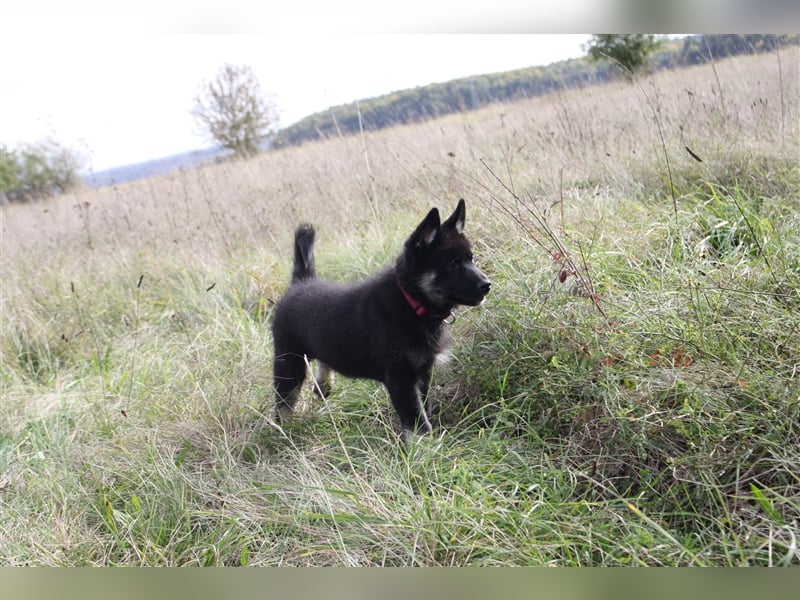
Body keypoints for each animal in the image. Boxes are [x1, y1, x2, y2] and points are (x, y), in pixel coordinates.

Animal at [272, 200, 490, 440]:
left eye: (471, 258)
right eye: (452, 264)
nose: (487, 285)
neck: (411, 302)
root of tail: (300, 283)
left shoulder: (423, 372)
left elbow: (423, 408)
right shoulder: (400, 376)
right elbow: (416, 421)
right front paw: (425, 446)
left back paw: (322, 385)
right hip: (288, 361)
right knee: (284, 401)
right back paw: (284, 429)